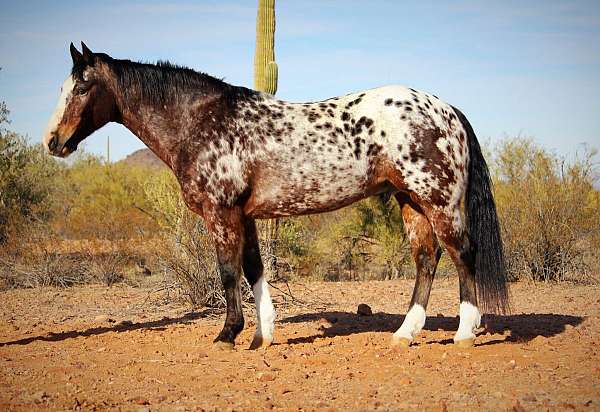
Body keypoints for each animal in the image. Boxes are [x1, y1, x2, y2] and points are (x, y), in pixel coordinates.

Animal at [44, 43, 508, 350]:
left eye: (81, 89)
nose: (53, 141)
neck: (201, 120)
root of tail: (446, 109)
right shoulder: (245, 216)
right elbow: (253, 269)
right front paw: (261, 335)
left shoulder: (221, 213)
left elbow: (227, 272)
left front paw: (227, 334)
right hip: (410, 201)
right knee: (427, 260)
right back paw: (404, 334)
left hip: (438, 201)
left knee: (464, 254)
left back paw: (465, 333)